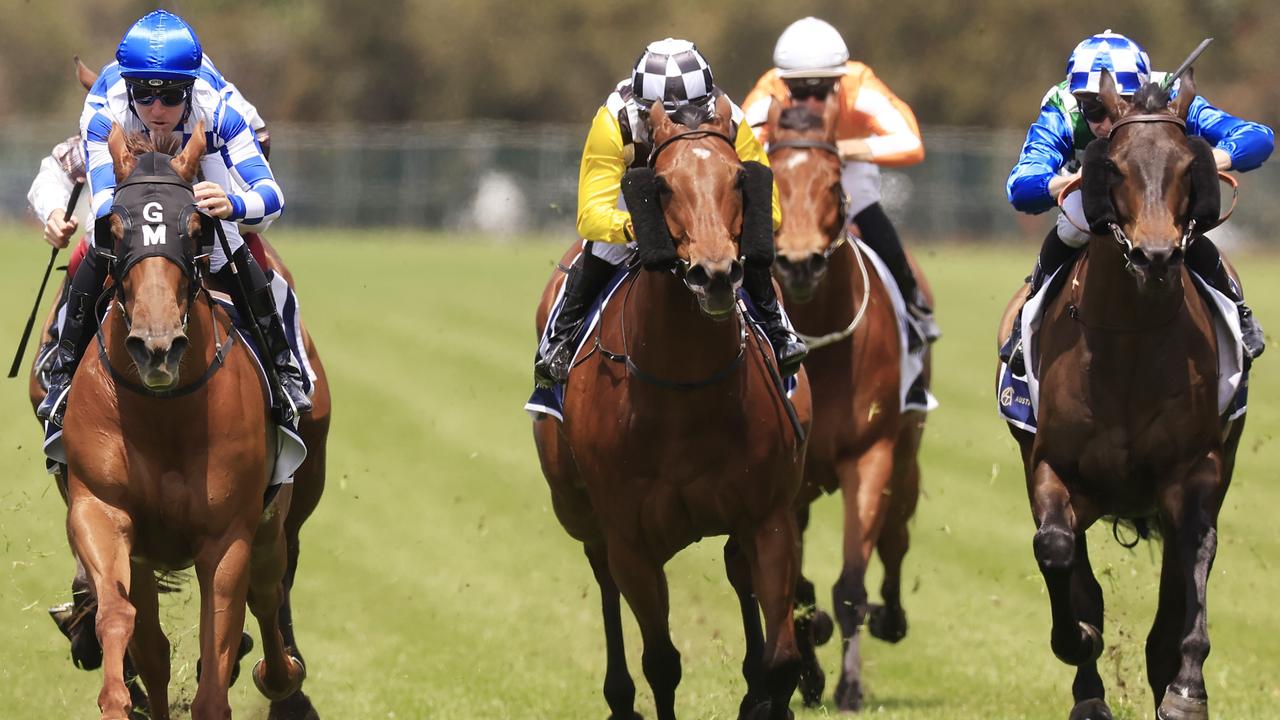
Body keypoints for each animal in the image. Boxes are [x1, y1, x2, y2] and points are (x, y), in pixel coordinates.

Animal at [59, 126, 325, 717]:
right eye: (114, 228)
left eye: (197, 227)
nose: (157, 347)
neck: (165, 416)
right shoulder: (103, 511)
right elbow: (125, 622)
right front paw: (116, 696)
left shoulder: (227, 536)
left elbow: (218, 648)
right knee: (154, 644)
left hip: (274, 518)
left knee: (268, 593)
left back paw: (283, 679)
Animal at [529, 95, 808, 717]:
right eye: (662, 186)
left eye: (738, 180)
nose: (715, 273)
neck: (687, 392)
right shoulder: (632, 541)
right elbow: (661, 663)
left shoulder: (770, 516)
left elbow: (781, 662)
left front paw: (762, 692)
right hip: (579, 513)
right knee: (604, 580)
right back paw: (618, 695)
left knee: (738, 574)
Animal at [762, 98, 936, 707]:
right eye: (768, 178)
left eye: (833, 181)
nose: (798, 263)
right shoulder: (786, 477)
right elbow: (794, 589)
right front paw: (809, 667)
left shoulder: (870, 455)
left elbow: (851, 586)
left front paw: (850, 685)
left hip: (905, 457)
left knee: (898, 537)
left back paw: (893, 618)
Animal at [993, 68, 1244, 717]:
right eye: (1116, 169)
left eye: (1188, 166)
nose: (1156, 255)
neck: (1128, 339)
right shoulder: (1050, 464)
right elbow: (1056, 551)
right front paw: (1080, 646)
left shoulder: (1195, 468)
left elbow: (1197, 555)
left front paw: (1186, 687)